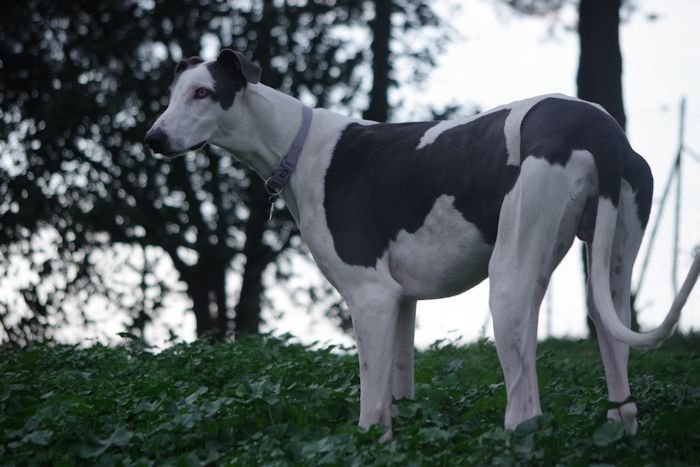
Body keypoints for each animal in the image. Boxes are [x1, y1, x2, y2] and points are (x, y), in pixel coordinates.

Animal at [145, 49, 700, 441]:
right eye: (172, 93)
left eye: (203, 92)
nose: (152, 139)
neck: (299, 146)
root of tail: (600, 128)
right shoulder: (402, 304)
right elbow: (399, 397)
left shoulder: (371, 299)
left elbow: (371, 413)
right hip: (612, 273)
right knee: (620, 384)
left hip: (509, 285)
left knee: (524, 411)